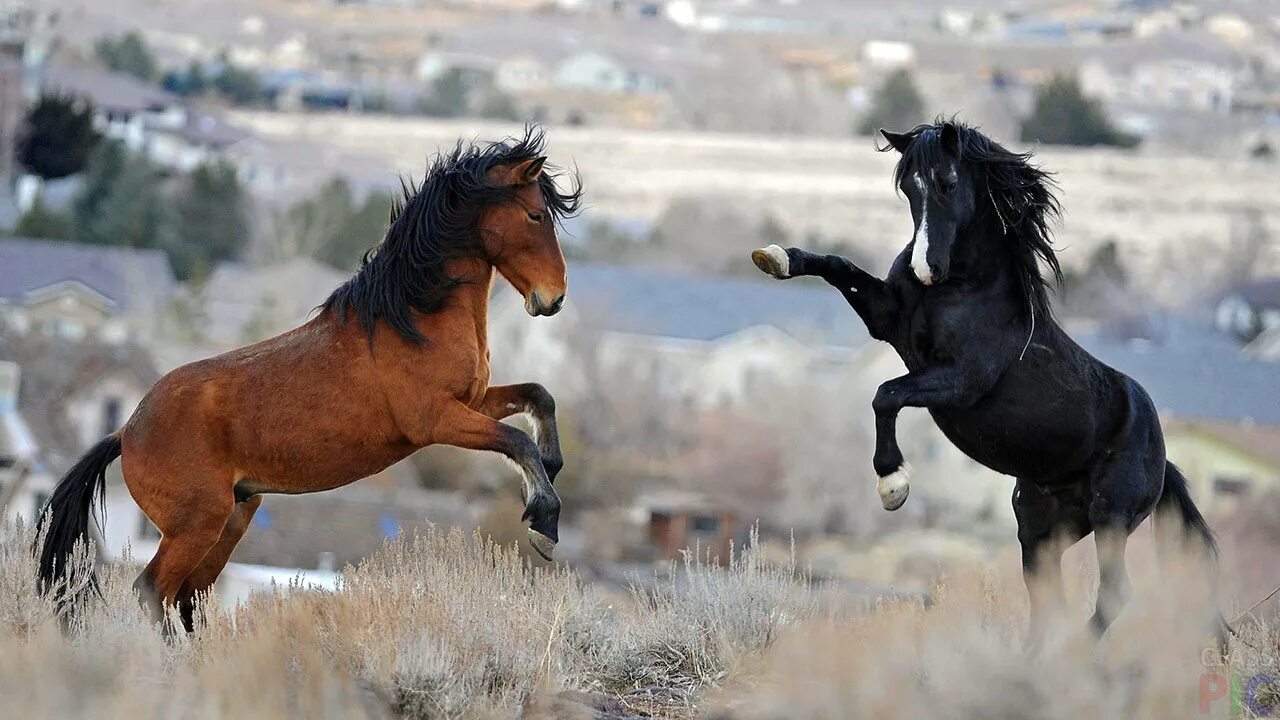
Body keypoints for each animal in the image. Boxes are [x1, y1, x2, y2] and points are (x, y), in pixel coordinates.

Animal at [33, 126, 586, 625]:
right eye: (535, 215)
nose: (554, 297)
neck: (413, 316)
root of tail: (126, 432)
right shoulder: (436, 421)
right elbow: (517, 440)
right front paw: (544, 522)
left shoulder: (472, 401)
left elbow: (540, 396)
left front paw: (553, 468)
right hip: (197, 525)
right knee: (152, 591)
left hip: (232, 519)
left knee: (186, 599)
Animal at [747, 120, 1218, 640]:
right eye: (908, 187)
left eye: (949, 183)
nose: (925, 269)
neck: (963, 288)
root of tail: (1162, 457)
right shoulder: (886, 319)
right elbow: (838, 266)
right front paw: (776, 257)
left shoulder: (958, 382)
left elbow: (886, 394)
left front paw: (893, 484)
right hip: (1042, 528)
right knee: (1048, 598)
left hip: (1111, 516)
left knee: (1114, 596)